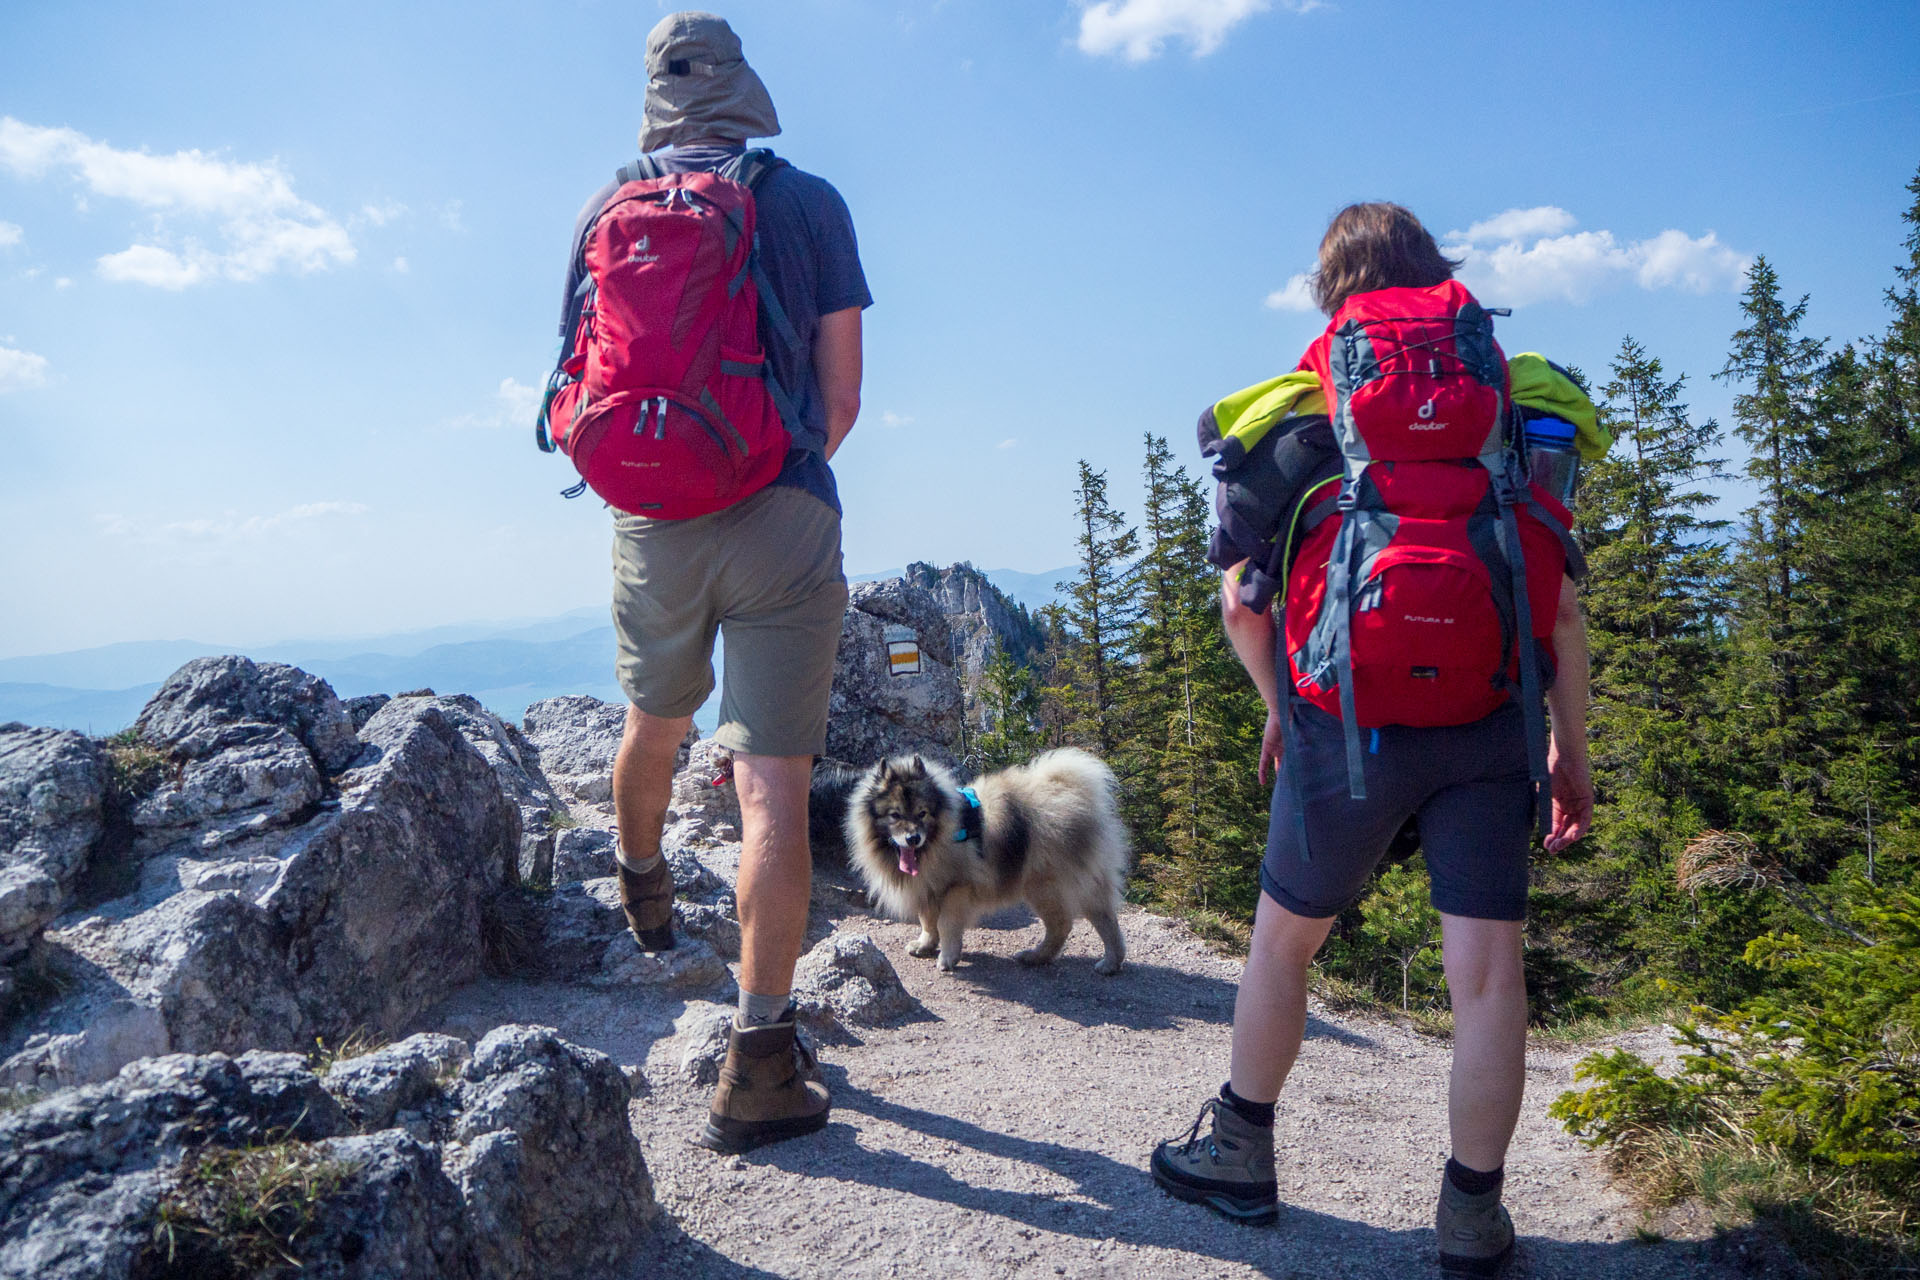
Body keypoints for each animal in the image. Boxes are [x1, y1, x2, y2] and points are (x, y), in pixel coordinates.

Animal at [840, 744, 1121, 974]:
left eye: (922, 813)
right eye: (895, 815)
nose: (913, 838)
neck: (939, 837)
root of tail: (1071, 796)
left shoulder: (956, 888)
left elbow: (946, 924)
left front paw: (948, 957)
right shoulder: (928, 887)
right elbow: (927, 921)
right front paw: (925, 945)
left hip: (1042, 887)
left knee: (1061, 926)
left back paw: (1035, 957)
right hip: (1083, 885)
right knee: (1106, 921)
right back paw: (1111, 963)